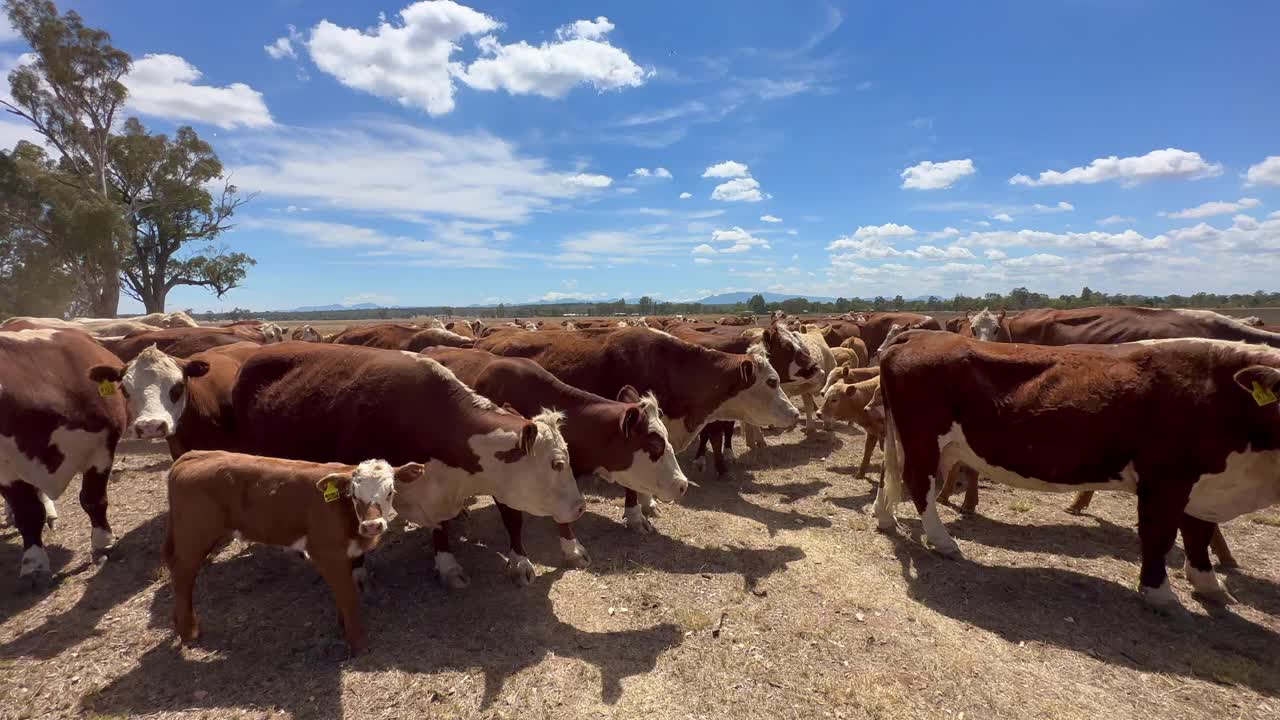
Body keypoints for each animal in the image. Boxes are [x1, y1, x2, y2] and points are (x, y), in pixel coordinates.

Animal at [2, 325, 126, 576]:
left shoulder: (102, 446)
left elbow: (93, 499)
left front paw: (103, 543)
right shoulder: (5, 470)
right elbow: (27, 513)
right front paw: (34, 563)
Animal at [165, 450, 422, 653]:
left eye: (390, 492)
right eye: (355, 495)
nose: (372, 526)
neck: (344, 512)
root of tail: (191, 457)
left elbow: (344, 592)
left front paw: (344, 625)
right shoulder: (326, 552)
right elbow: (349, 596)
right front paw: (358, 642)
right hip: (194, 537)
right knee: (183, 575)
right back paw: (189, 631)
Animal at [875, 330, 1280, 604]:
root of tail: (918, 335)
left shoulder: (1204, 484)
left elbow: (1198, 532)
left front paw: (1209, 584)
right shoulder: (1167, 479)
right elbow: (1160, 535)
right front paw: (1159, 591)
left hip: (912, 438)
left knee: (890, 475)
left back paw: (886, 519)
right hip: (924, 438)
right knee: (919, 484)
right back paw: (943, 541)